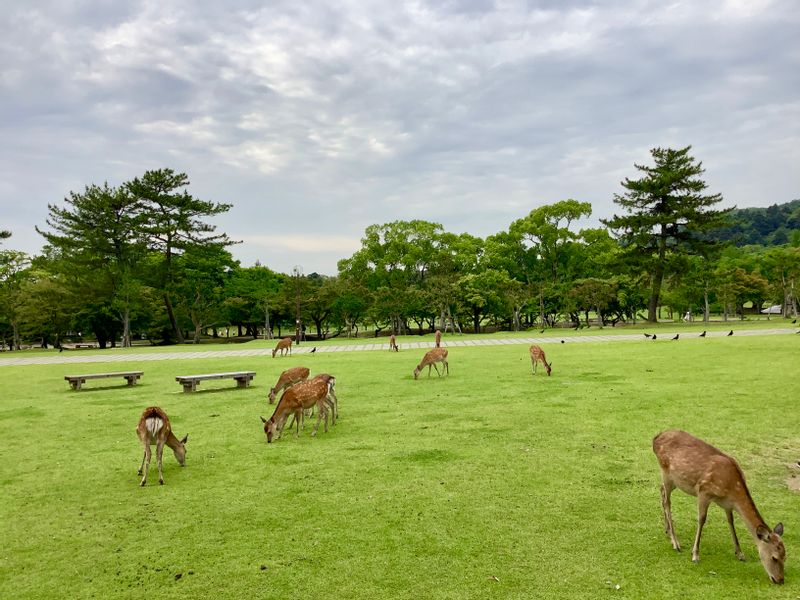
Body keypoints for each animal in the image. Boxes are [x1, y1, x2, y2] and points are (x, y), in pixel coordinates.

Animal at [652, 428, 784, 584]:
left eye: (785, 556)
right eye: (774, 557)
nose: (780, 579)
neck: (732, 489)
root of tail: (656, 438)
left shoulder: (727, 504)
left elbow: (731, 522)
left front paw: (740, 553)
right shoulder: (704, 491)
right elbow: (702, 519)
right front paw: (695, 555)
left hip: (675, 481)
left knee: (661, 492)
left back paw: (667, 530)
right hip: (666, 472)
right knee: (667, 501)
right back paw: (676, 543)